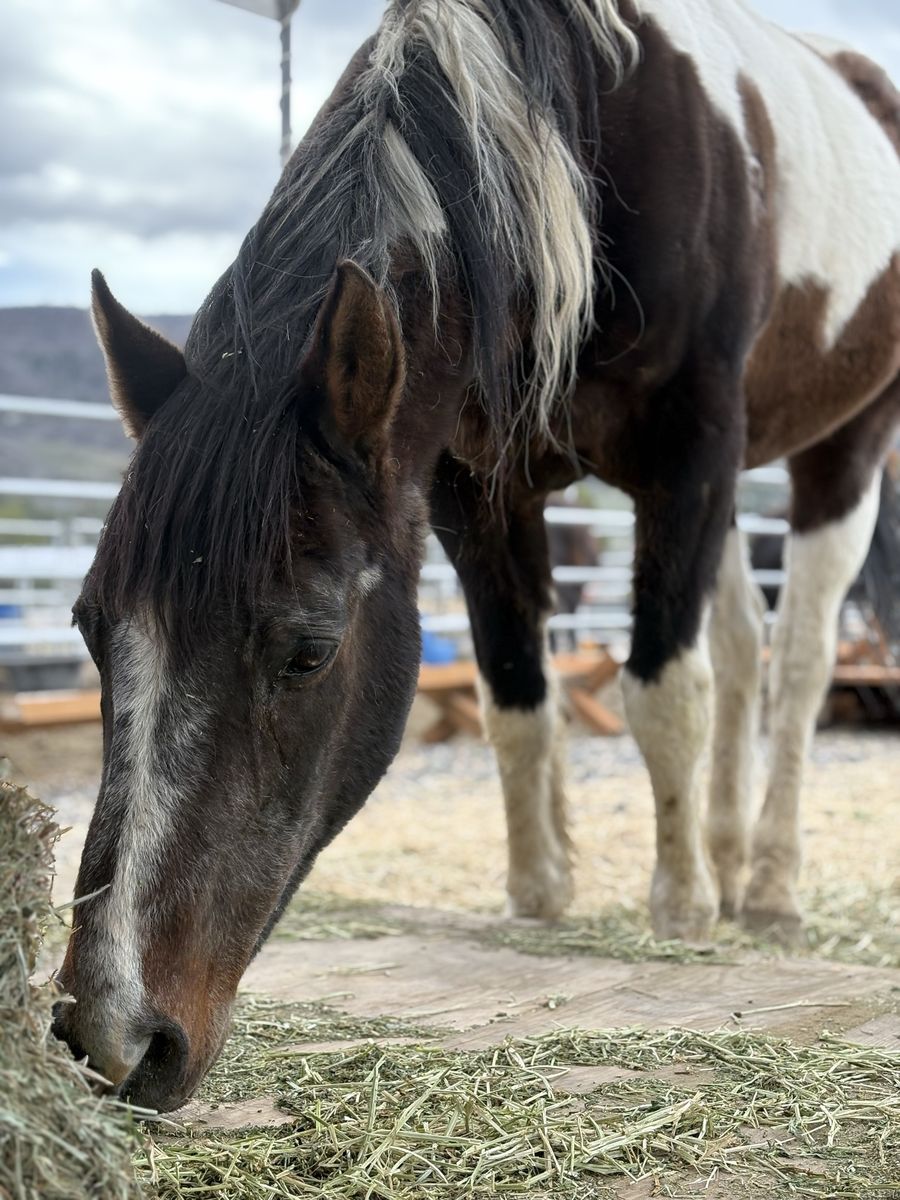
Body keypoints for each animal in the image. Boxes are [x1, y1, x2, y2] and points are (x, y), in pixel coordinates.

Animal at [54, 0, 900, 1113]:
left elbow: (662, 692)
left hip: (840, 447)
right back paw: (724, 855)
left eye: (309, 651)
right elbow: (516, 697)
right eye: (89, 628)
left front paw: (678, 906)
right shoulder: (474, 489)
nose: (107, 1037)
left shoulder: (692, 451)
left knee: (796, 666)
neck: (581, 129)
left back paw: (761, 885)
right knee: (741, 651)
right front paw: (541, 895)